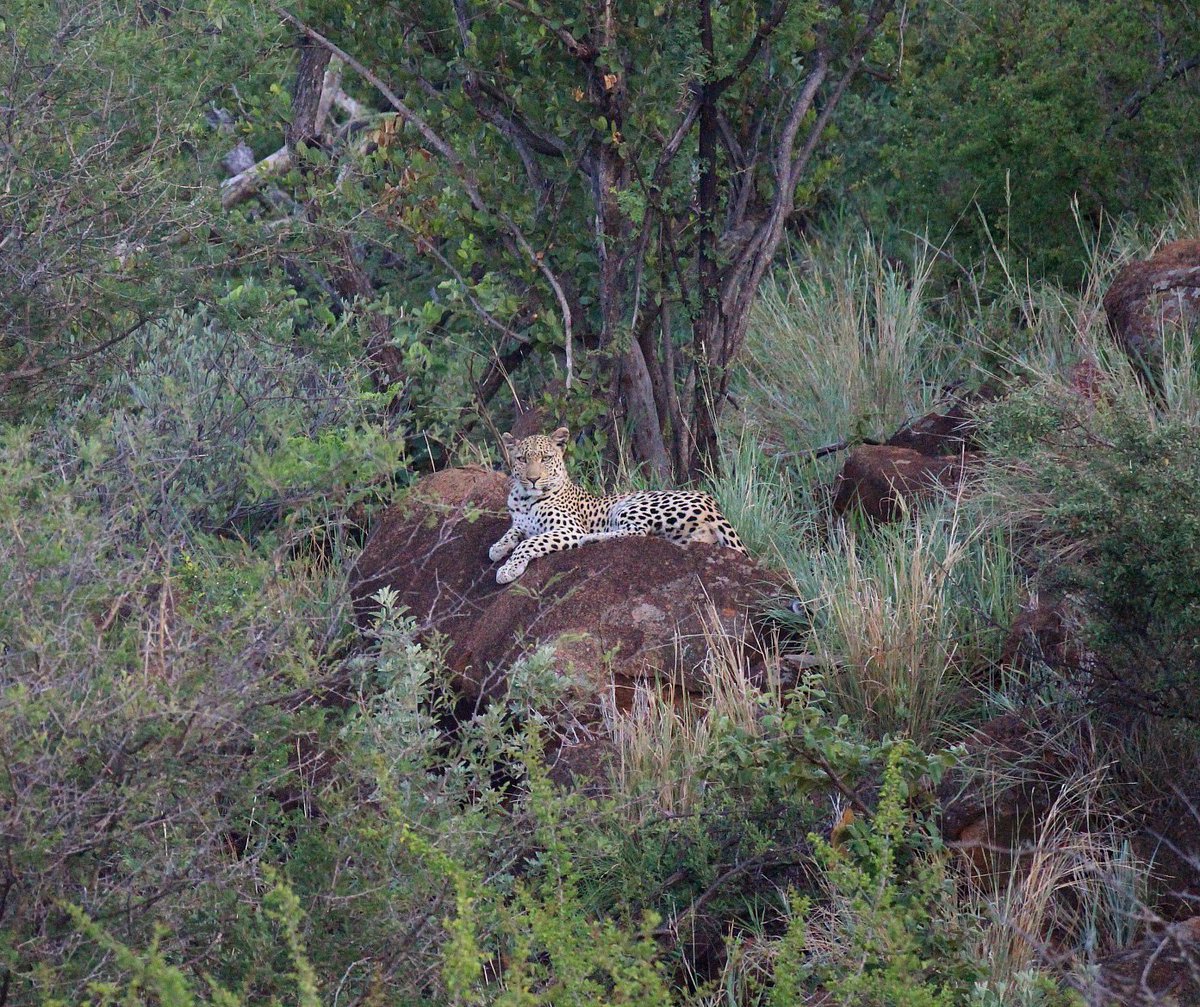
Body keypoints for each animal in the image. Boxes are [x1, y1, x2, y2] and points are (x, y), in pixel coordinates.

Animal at [484, 424, 744, 583]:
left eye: (545, 458)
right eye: (521, 459)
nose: (533, 478)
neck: (525, 498)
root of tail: (712, 502)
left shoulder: (568, 529)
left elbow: (528, 543)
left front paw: (508, 569)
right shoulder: (521, 523)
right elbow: (513, 533)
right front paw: (497, 548)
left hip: (633, 505)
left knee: (638, 531)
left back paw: (591, 538)